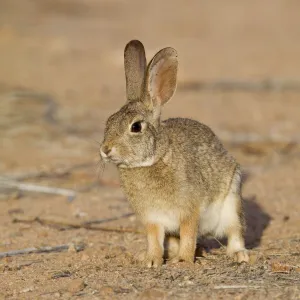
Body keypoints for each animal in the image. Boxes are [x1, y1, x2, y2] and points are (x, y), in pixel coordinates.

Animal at [99, 39, 250, 268]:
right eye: (108, 122)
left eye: (136, 127)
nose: (105, 149)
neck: (154, 158)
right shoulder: (152, 218)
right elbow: (154, 239)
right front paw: (151, 260)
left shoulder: (189, 210)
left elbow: (188, 233)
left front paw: (183, 261)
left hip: (232, 203)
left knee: (235, 231)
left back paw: (239, 255)